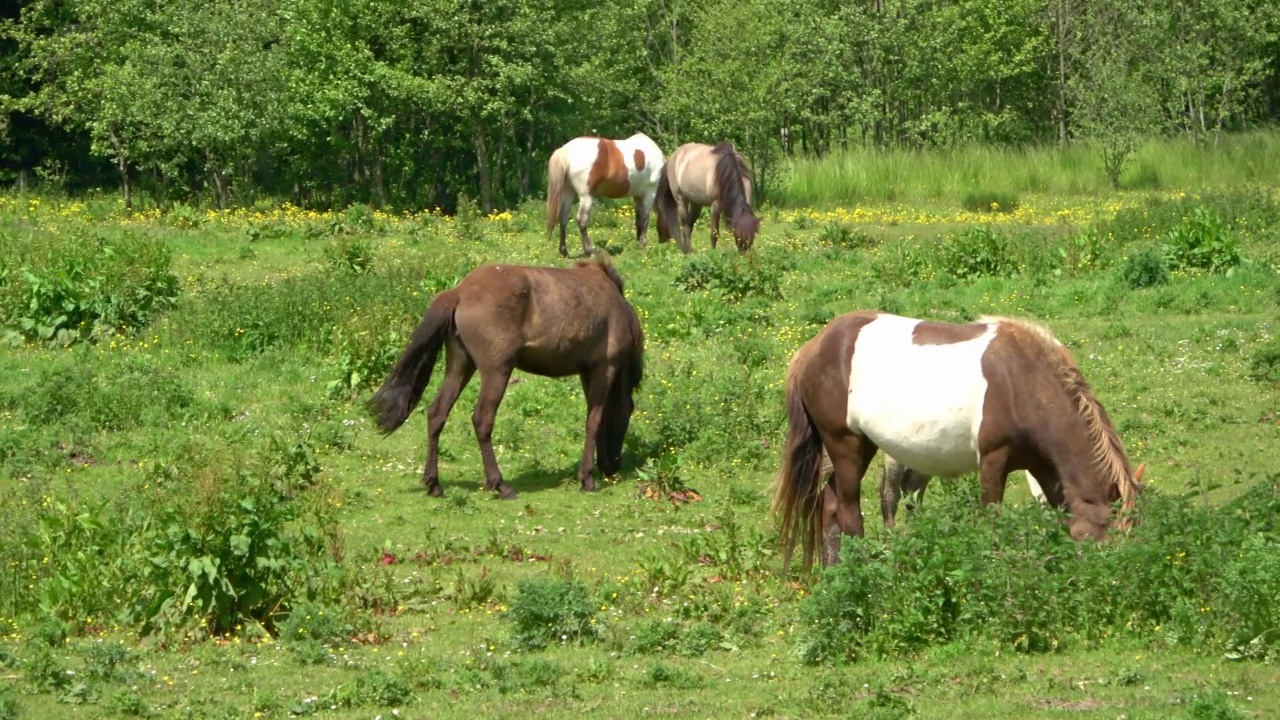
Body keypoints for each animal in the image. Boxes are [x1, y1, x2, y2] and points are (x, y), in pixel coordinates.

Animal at [371, 257, 650, 499]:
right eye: (628, 414)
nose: (613, 466)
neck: (618, 308)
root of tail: (459, 291)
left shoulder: (586, 372)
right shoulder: (605, 368)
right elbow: (594, 420)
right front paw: (587, 478)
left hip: (460, 367)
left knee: (437, 414)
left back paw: (434, 484)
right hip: (497, 371)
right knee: (482, 420)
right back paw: (500, 485)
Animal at [773, 308, 1146, 566]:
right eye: (1107, 539)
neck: (1024, 382)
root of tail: (810, 349)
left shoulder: (1043, 470)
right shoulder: (994, 460)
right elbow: (993, 522)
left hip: (860, 447)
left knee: (830, 505)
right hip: (845, 444)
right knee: (850, 513)